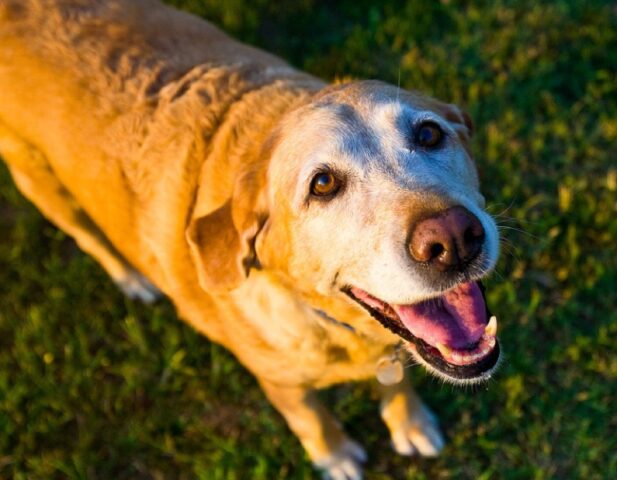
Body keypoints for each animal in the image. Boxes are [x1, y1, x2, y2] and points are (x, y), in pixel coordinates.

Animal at [0, 1, 500, 478]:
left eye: (429, 133)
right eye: (322, 184)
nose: (453, 239)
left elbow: (396, 383)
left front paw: (410, 425)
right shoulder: (280, 384)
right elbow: (312, 420)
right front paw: (335, 457)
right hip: (42, 183)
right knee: (89, 237)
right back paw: (131, 279)